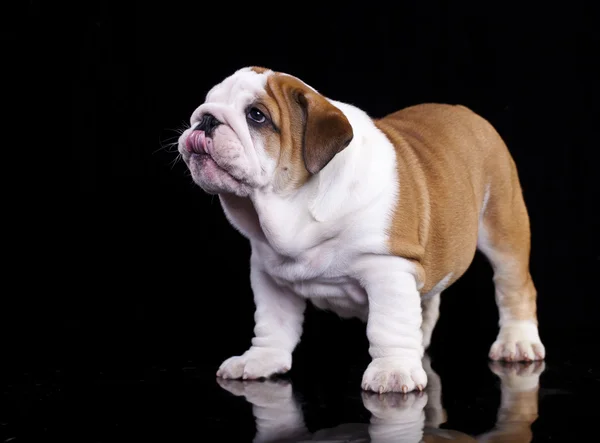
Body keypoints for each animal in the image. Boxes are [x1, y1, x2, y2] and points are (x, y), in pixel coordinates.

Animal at [177, 66, 544, 392]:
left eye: (256, 116)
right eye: (208, 102)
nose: (204, 118)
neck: (295, 207)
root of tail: (468, 113)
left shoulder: (389, 269)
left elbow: (388, 325)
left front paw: (393, 371)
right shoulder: (269, 275)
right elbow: (272, 323)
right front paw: (261, 359)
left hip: (503, 227)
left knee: (514, 286)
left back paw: (517, 342)